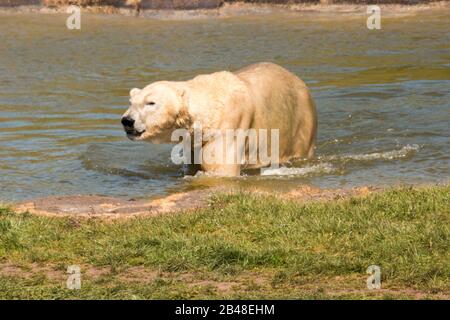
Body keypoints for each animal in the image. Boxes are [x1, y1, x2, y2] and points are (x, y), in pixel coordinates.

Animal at [121, 62, 318, 178]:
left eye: (151, 102)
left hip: (301, 121)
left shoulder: (229, 127)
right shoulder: (194, 141)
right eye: (131, 102)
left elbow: (219, 167)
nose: (127, 120)